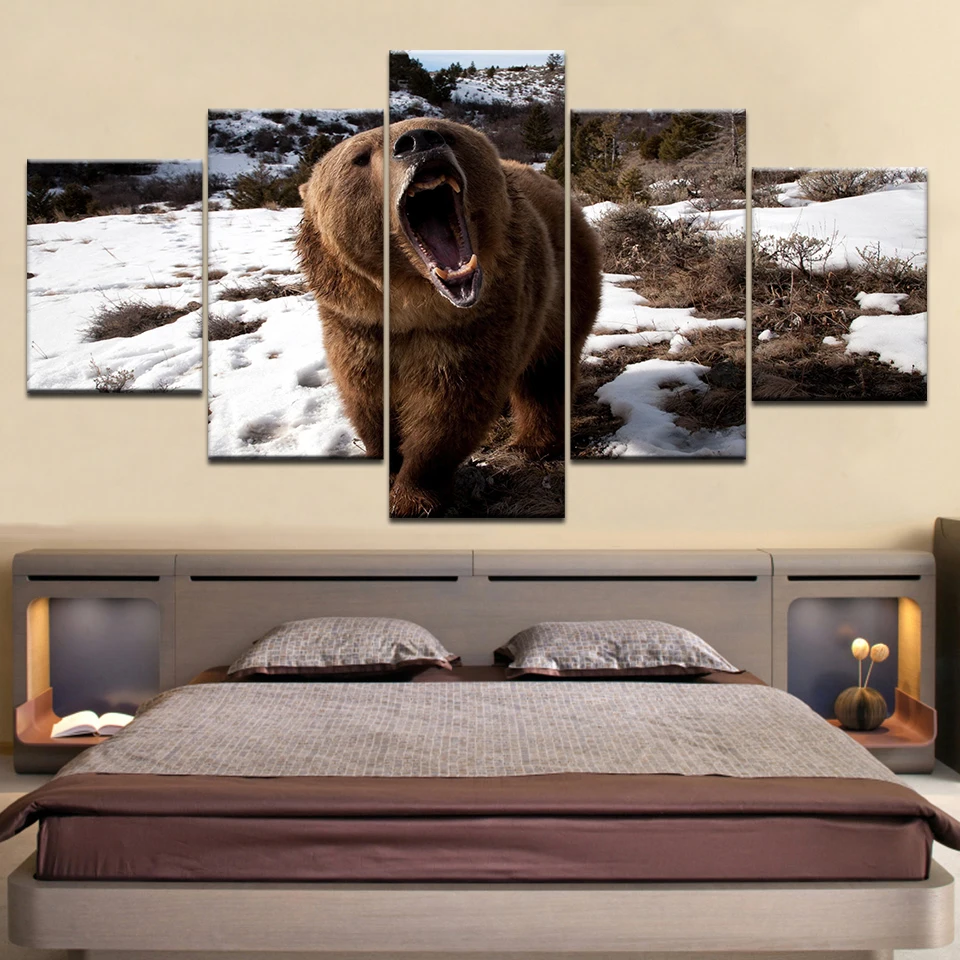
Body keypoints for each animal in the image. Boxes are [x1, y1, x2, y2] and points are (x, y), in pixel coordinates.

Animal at [298, 117, 601, 517]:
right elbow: (366, 399)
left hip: (565, 288)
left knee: (545, 373)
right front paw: (384, 461)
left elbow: (449, 409)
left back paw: (531, 444)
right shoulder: (357, 326)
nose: (419, 141)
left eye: (445, 132)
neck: (412, 306)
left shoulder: (473, 326)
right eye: (359, 157)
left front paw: (413, 496)